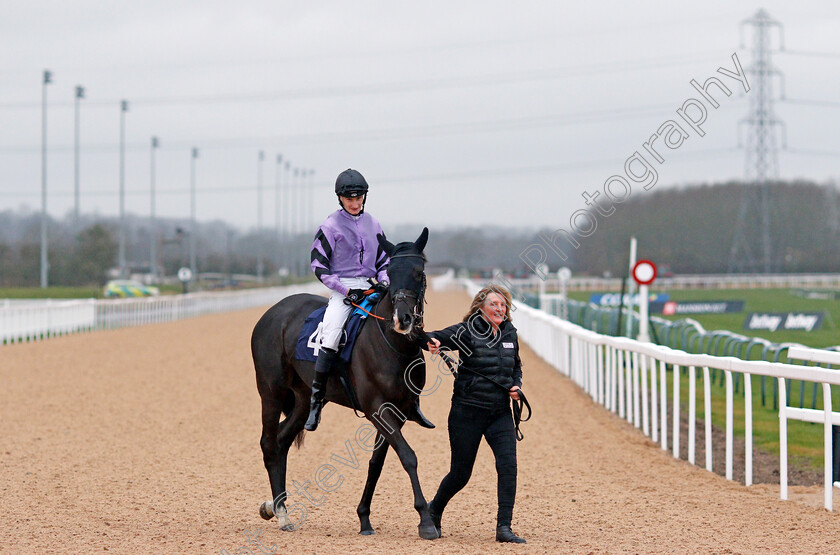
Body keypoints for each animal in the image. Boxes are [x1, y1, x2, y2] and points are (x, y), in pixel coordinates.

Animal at [251, 228, 440, 540]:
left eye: (418, 272)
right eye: (391, 273)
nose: (403, 319)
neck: (393, 345)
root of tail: (273, 312)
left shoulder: (397, 410)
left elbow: (377, 463)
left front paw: (364, 518)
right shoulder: (377, 407)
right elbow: (408, 456)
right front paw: (425, 520)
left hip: (304, 398)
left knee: (281, 440)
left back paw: (275, 506)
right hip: (271, 391)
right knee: (268, 442)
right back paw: (281, 513)